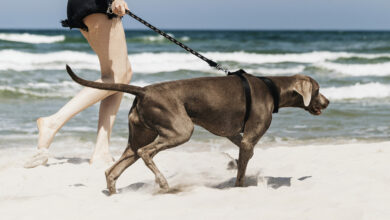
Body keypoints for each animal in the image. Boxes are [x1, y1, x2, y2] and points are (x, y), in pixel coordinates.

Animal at [65, 65, 328, 194]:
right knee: (146, 153)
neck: (272, 87)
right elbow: (242, 171)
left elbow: (241, 151)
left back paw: (115, 195)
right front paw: (239, 187)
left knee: (113, 169)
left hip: (139, 135)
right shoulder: (247, 139)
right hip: (180, 130)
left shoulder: (232, 133)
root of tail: (143, 91)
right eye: (317, 90)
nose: (327, 103)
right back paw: (163, 184)